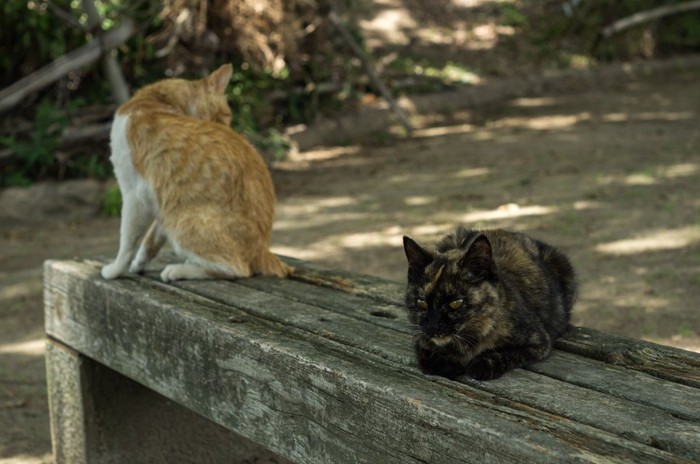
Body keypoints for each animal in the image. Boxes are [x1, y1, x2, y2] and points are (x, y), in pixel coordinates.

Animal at [101, 63, 290, 280]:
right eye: (225, 116)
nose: (228, 129)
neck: (154, 101)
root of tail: (263, 251)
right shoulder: (161, 200)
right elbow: (150, 240)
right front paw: (138, 264)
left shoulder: (135, 196)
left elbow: (127, 241)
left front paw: (115, 269)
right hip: (174, 213)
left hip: (183, 221)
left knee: (236, 269)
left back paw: (178, 270)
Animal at [402, 227, 576, 378]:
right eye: (421, 302)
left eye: (456, 303)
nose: (433, 327)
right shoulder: (420, 336)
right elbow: (426, 355)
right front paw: (448, 364)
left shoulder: (538, 341)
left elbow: (506, 353)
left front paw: (481, 365)